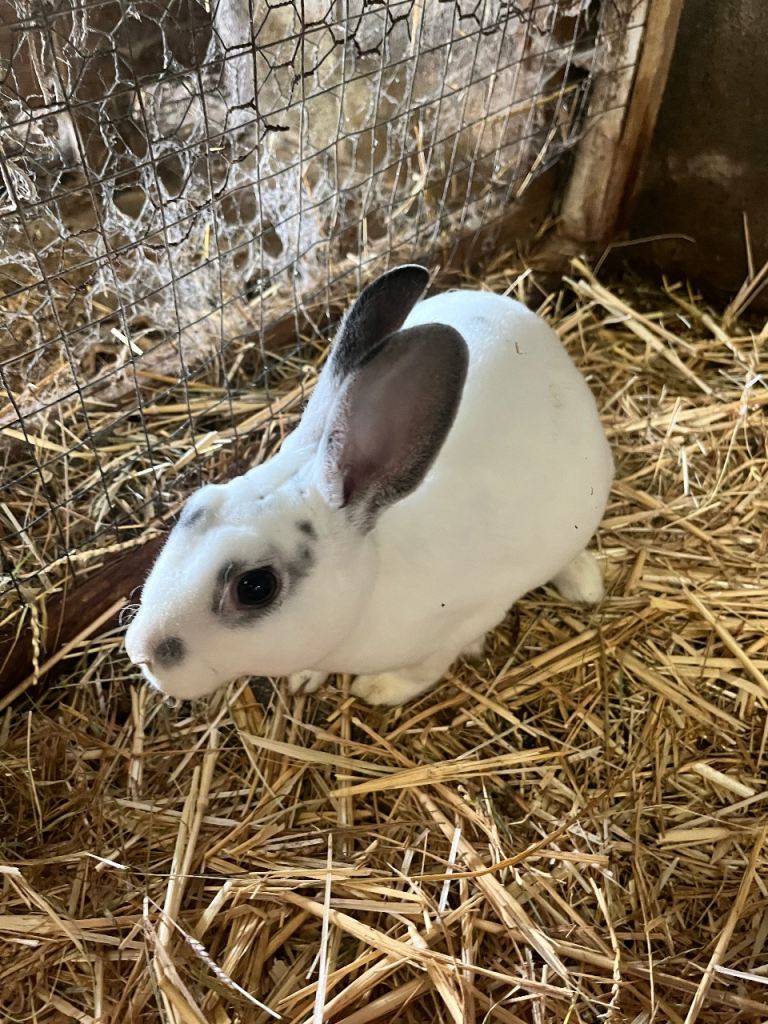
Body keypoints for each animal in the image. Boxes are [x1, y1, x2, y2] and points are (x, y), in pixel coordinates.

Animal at [125, 264, 613, 706]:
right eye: (193, 507)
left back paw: (586, 585)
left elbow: (424, 670)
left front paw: (377, 689)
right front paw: (304, 678)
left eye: (255, 587)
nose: (139, 651)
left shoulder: (467, 621)